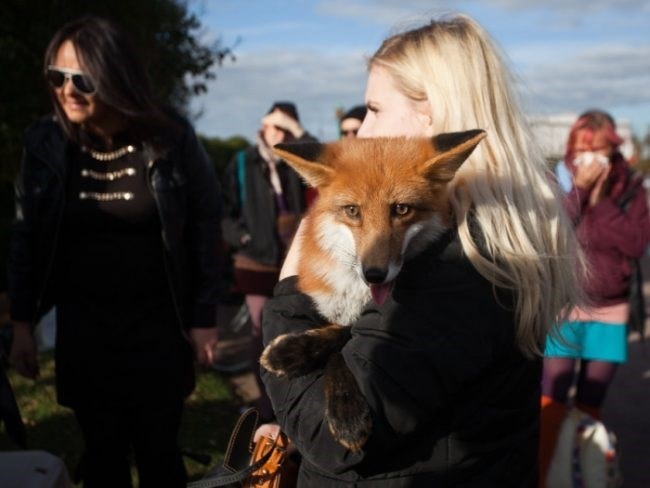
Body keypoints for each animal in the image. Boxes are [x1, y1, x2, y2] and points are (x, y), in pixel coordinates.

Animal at [260, 129, 484, 450]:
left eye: (402, 209)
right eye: (353, 211)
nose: (374, 274)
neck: (357, 297)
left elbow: (342, 344)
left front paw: (346, 412)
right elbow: (335, 333)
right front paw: (292, 352)